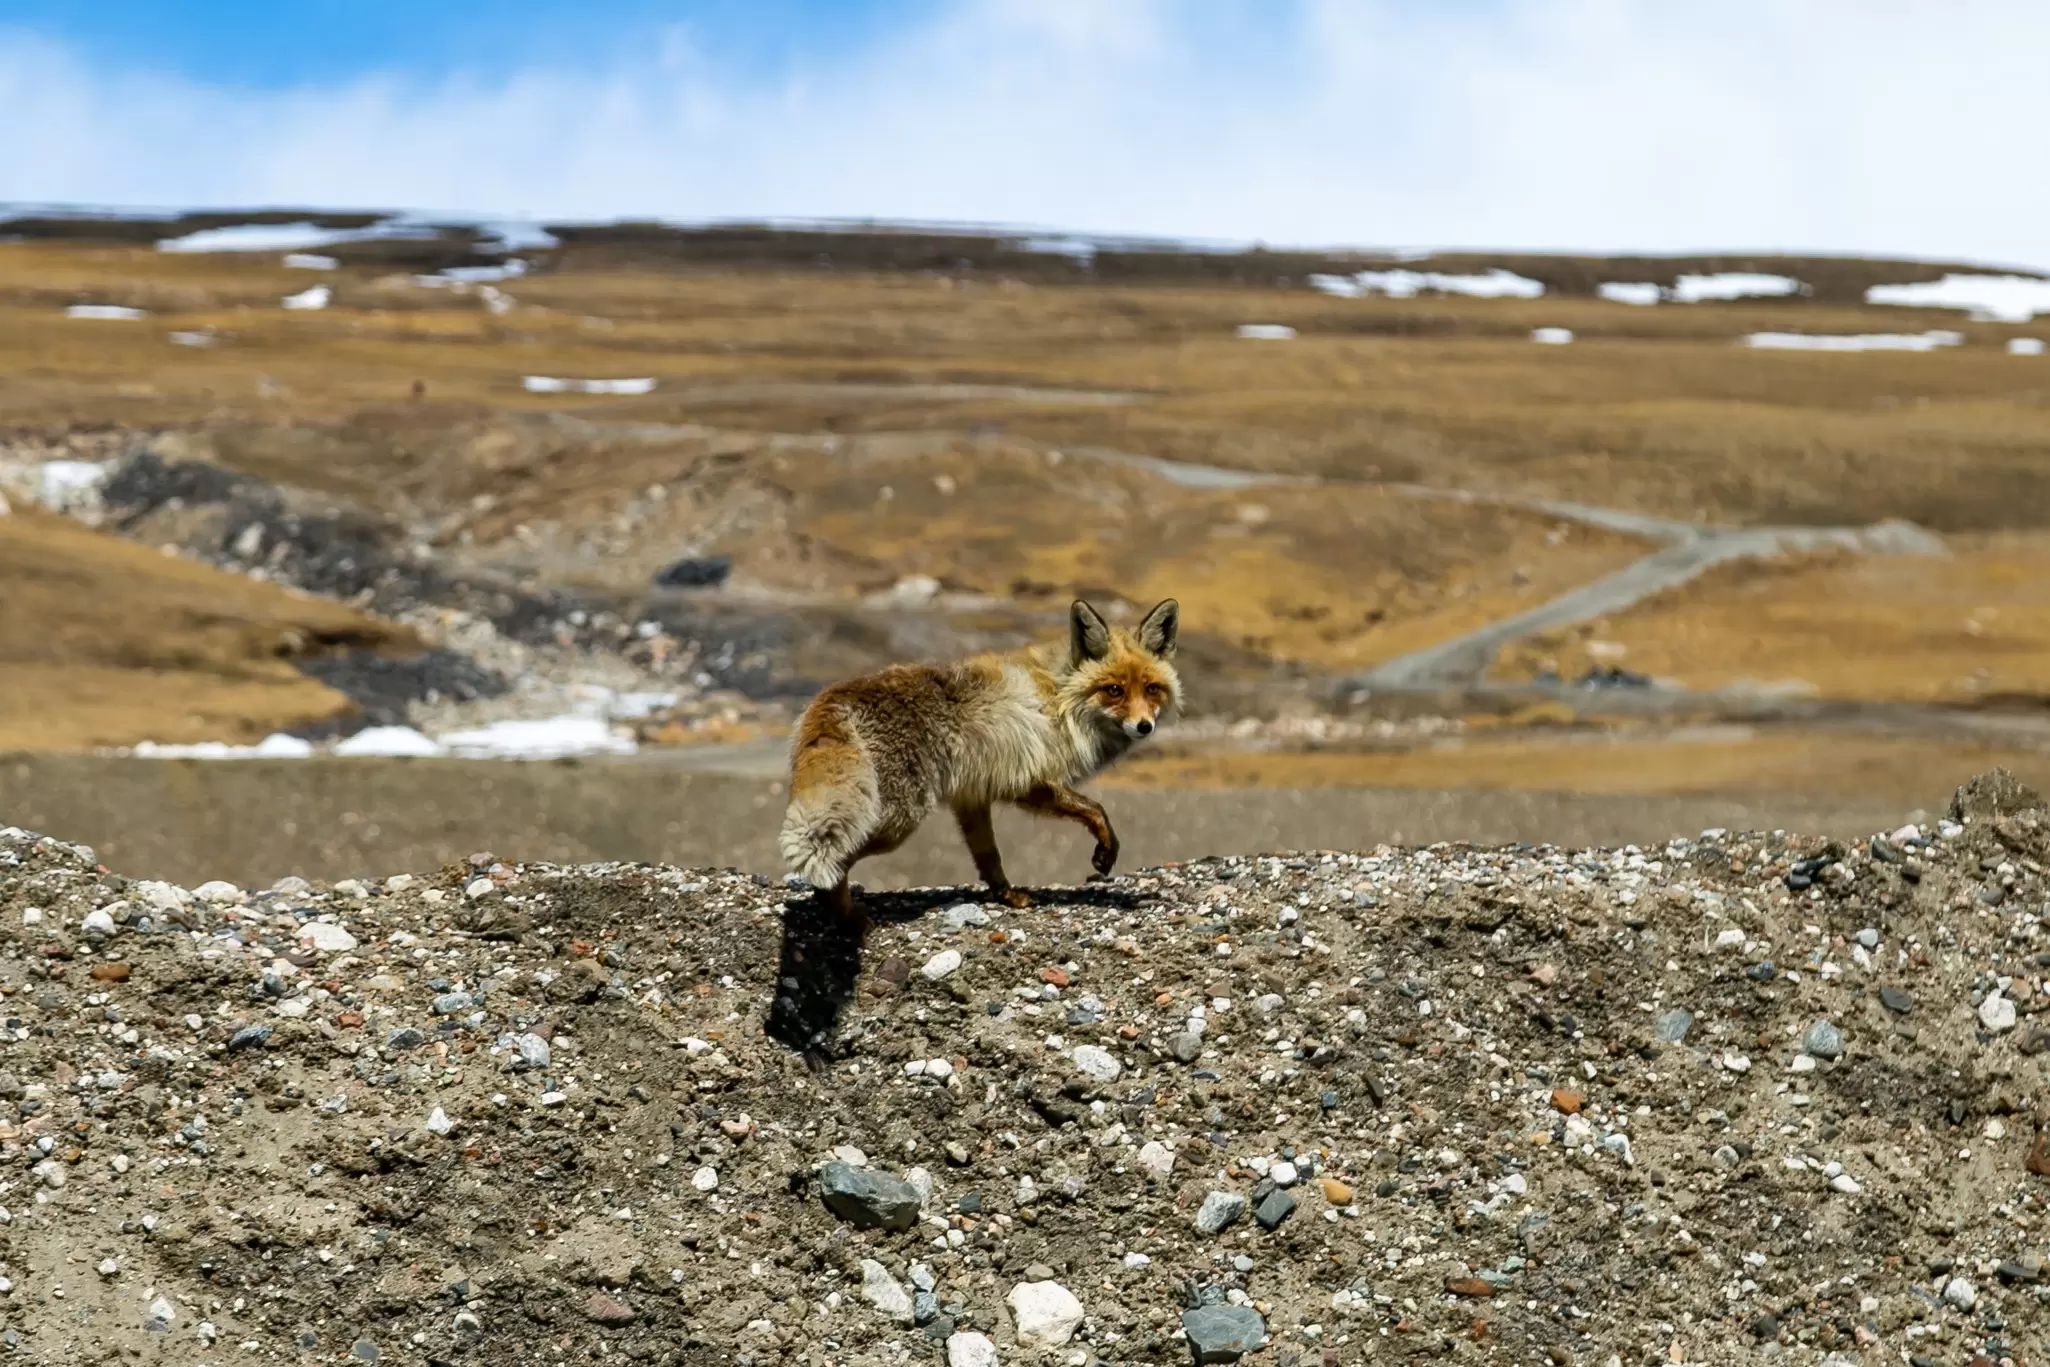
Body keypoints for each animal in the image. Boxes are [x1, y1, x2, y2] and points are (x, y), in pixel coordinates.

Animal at [778, 597, 1181, 923]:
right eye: (1114, 691)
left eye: (1151, 689)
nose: (1144, 726)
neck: (1059, 702)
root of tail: (830, 696)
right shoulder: (1027, 779)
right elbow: (1095, 809)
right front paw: (1105, 853)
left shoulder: (971, 796)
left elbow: (989, 857)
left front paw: (1006, 896)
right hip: (894, 821)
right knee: (833, 865)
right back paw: (850, 920)